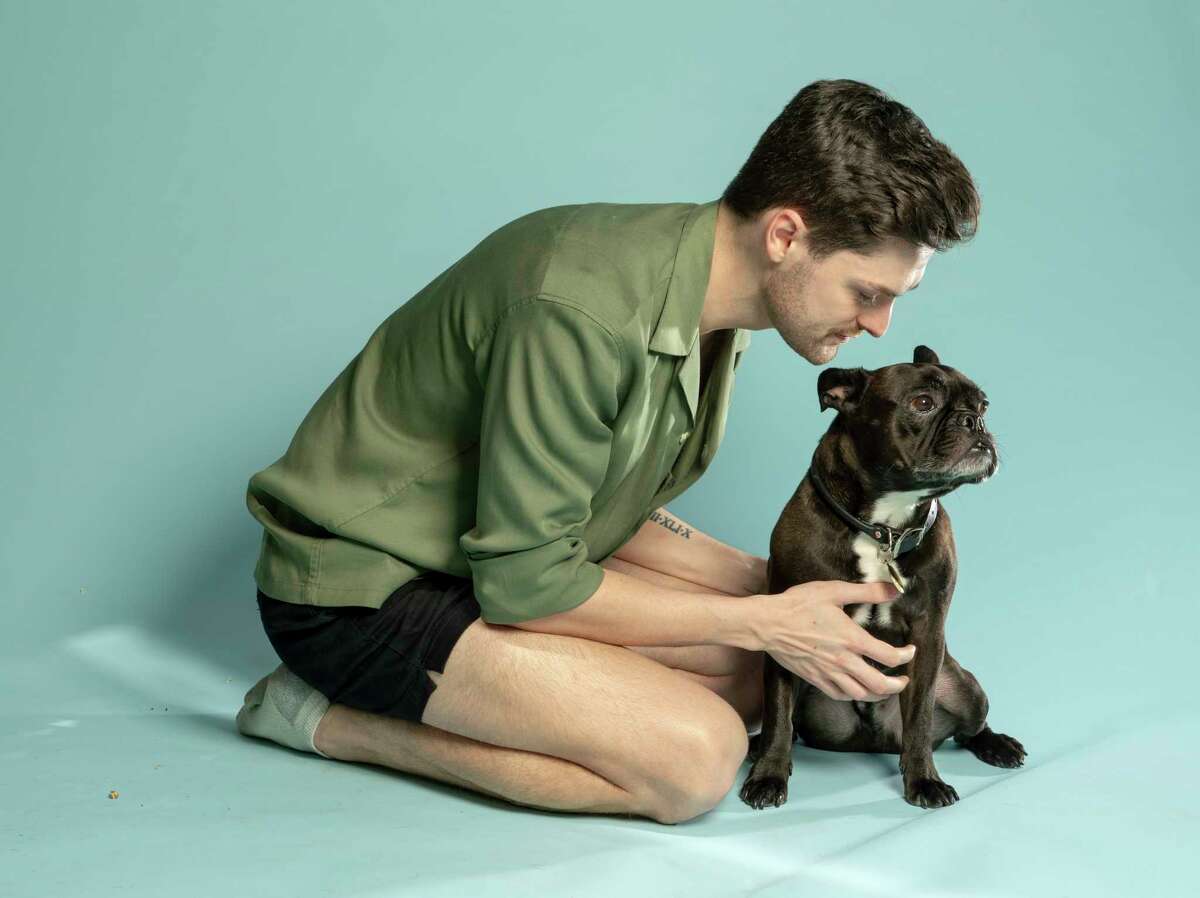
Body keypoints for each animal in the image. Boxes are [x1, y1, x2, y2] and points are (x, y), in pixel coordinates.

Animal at [744, 340, 1027, 806]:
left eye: (984, 404)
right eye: (923, 403)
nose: (975, 421)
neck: (883, 527)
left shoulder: (928, 633)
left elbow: (920, 718)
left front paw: (924, 780)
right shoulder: (788, 626)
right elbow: (778, 713)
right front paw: (768, 774)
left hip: (965, 687)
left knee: (967, 728)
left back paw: (997, 745)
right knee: (789, 724)